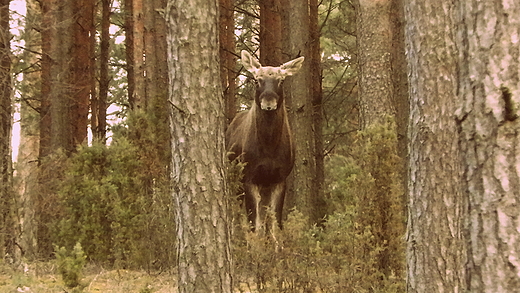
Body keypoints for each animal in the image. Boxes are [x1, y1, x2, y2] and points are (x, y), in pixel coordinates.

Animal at [224, 50, 304, 233]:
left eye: (281, 80)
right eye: (256, 80)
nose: (268, 103)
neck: (269, 148)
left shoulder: (280, 177)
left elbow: (274, 223)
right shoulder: (249, 176)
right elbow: (255, 224)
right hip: (235, 179)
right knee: (237, 215)